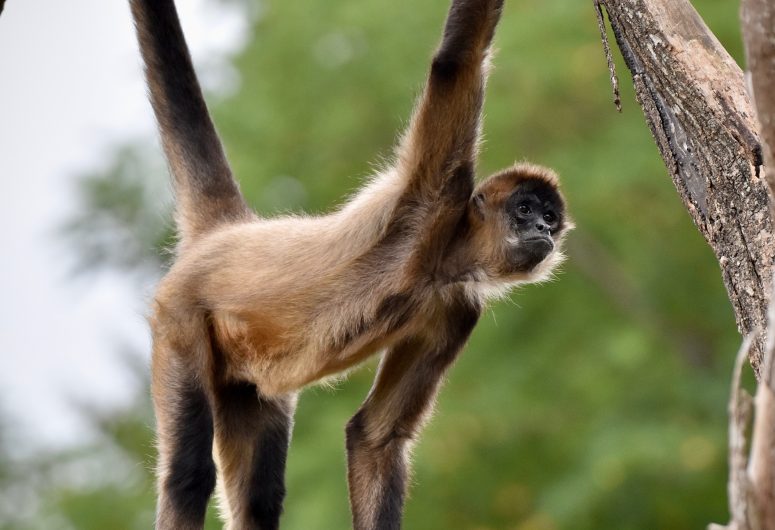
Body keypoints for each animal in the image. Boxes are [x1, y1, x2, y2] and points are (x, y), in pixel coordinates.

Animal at [132, 0, 568, 524]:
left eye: (550, 218)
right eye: (524, 210)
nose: (542, 230)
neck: (442, 258)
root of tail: (230, 232)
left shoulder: (457, 308)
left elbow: (375, 436)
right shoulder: (436, 193)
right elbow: (455, 61)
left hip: (245, 377)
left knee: (259, 498)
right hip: (180, 319)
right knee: (188, 474)